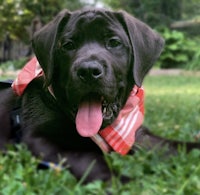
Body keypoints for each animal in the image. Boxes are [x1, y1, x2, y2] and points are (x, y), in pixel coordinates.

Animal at [0, 8, 199, 182]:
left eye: (113, 42)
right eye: (68, 45)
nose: (88, 71)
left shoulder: (140, 135)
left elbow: (173, 145)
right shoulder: (38, 139)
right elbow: (88, 158)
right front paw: (121, 182)